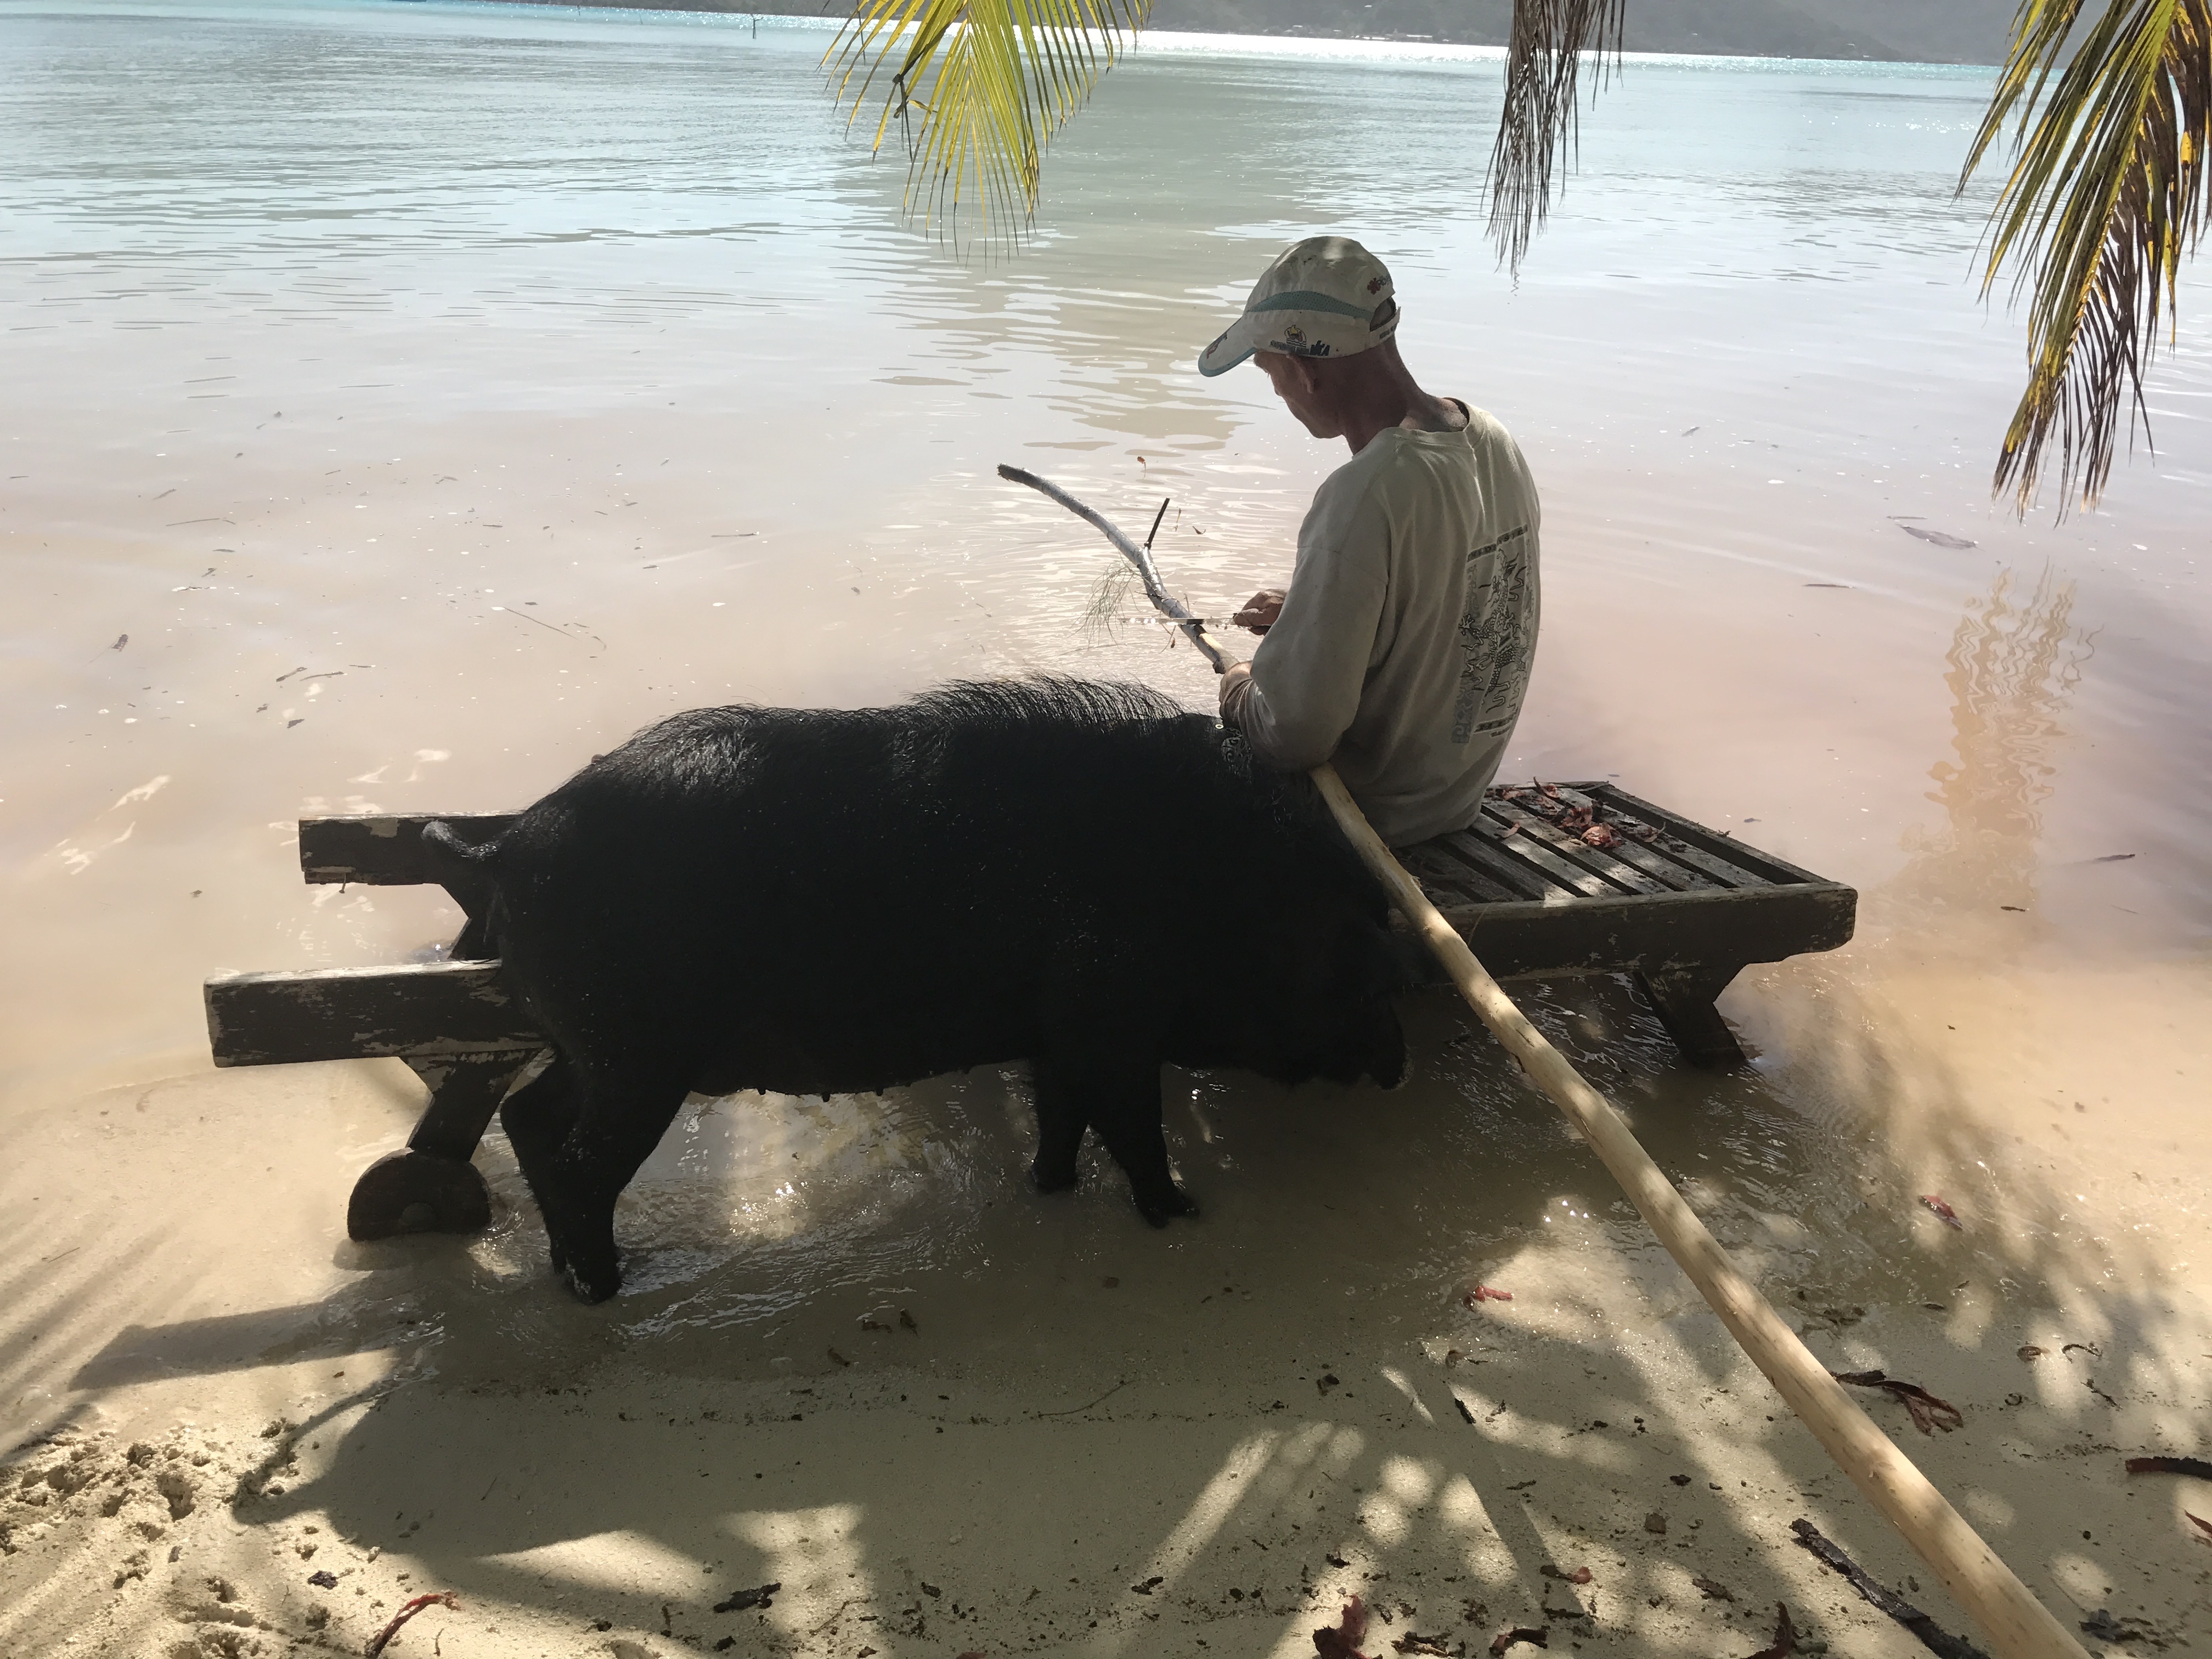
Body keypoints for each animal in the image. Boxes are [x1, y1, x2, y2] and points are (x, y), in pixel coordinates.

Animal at [431, 681, 1415, 1309]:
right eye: (1365, 960)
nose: (1400, 1065)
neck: (1216, 881)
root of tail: (508, 841)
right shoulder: (1108, 1023)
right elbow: (1134, 1124)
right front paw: (1183, 1213)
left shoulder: (1058, 1030)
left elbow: (1063, 1116)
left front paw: (1051, 1188)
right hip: (634, 1054)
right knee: (574, 1157)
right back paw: (606, 1288)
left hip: (590, 1044)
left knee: (528, 1115)